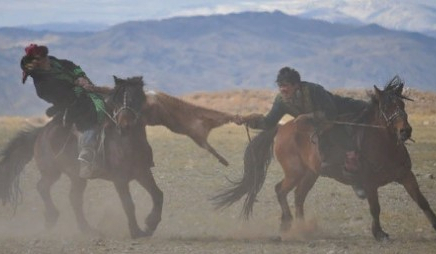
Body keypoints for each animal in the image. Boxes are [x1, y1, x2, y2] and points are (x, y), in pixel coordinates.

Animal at [214, 76, 436, 241]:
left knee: (298, 196)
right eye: (385, 107)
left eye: (401, 104)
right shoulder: (369, 183)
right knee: (281, 190)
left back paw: (302, 227)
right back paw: (288, 224)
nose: (405, 131)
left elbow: (423, 202)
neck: (383, 145)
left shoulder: (407, 176)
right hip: (295, 172)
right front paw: (380, 234)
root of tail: (281, 128)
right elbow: (375, 208)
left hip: (310, 174)